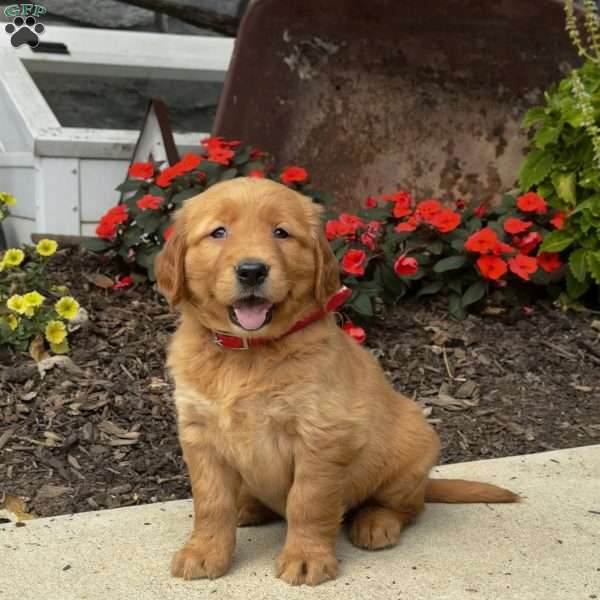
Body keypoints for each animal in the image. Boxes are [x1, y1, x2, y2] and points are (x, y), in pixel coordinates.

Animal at [157, 177, 516, 584]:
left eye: (281, 232)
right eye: (219, 232)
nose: (252, 270)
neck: (248, 354)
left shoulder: (321, 435)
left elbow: (307, 501)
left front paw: (306, 558)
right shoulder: (200, 434)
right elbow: (211, 501)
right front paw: (204, 552)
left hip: (413, 451)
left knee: (408, 507)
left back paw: (376, 523)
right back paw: (248, 506)